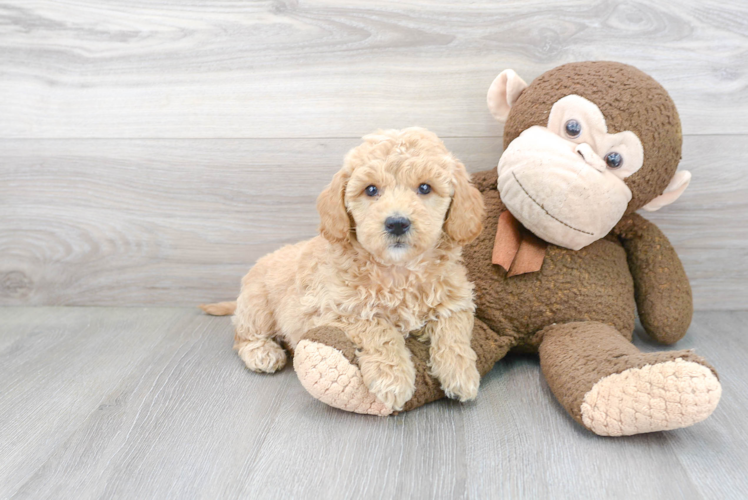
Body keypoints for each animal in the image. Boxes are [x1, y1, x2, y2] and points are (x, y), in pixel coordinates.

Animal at [205, 126, 486, 410]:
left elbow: (454, 329)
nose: (397, 223)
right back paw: (262, 353)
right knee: (243, 336)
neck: (398, 271)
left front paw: (461, 374)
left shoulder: (455, 298)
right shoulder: (339, 310)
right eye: (371, 190)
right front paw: (392, 378)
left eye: (425, 187)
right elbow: (379, 328)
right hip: (258, 305)